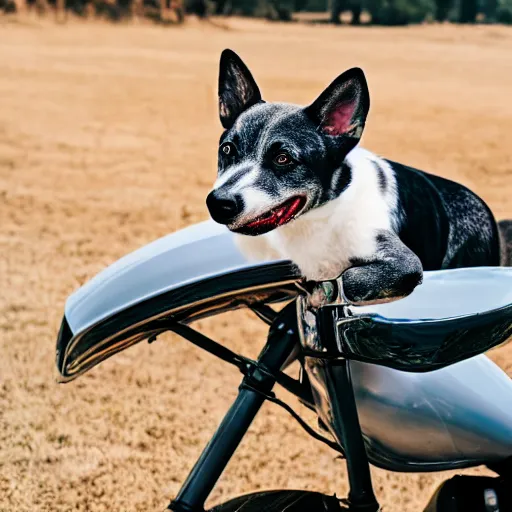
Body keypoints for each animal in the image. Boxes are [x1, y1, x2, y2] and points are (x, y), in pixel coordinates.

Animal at [207, 49, 508, 304]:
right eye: (227, 149)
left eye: (283, 159)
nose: (219, 203)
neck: (323, 218)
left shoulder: (401, 262)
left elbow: (349, 280)